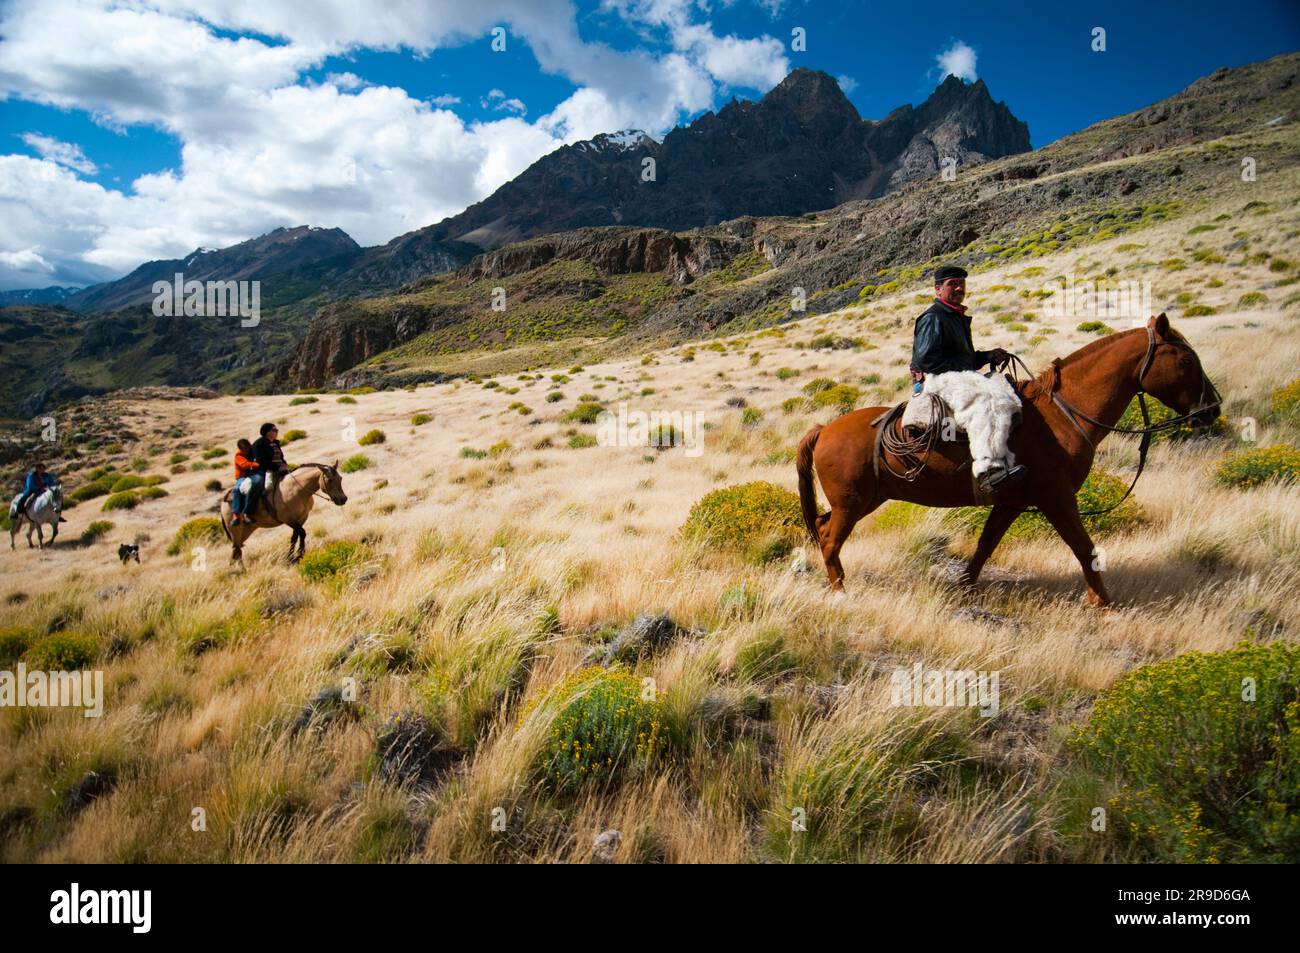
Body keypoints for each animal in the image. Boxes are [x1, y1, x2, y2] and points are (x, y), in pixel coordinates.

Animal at [220, 462, 348, 564]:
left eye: (341, 478)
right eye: (329, 480)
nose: (343, 499)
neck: (297, 489)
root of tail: (222, 504)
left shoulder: (301, 517)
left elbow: (295, 536)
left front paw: (292, 556)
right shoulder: (288, 519)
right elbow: (302, 533)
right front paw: (299, 555)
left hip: (245, 532)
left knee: (236, 552)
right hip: (236, 532)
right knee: (237, 551)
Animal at [790, 315, 1216, 605]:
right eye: (1186, 361)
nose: (1212, 408)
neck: (1061, 415)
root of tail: (825, 429)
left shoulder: (1011, 502)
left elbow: (985, 546)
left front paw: (964, 588)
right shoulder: (1057, 498)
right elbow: (1084, 547)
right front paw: (1103, 603)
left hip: (862, 501)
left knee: (823, 528)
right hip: (853, 503)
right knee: (830, 539)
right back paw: (840, 592)